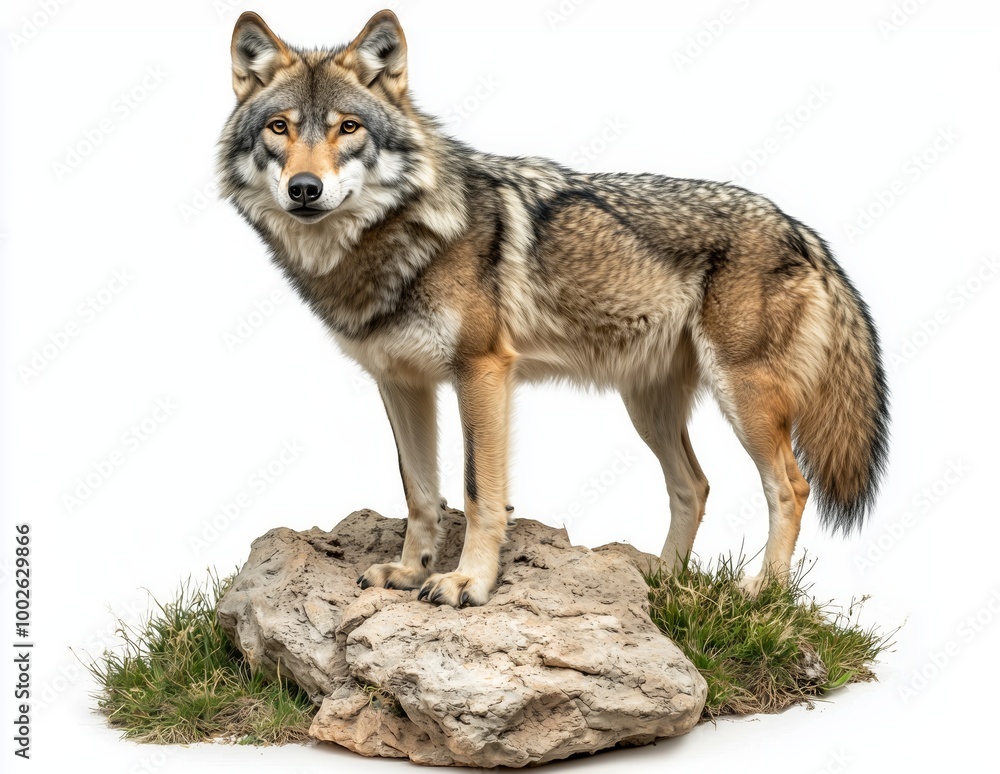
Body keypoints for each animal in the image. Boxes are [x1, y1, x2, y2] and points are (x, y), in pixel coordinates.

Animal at [218, 10, 889, 607]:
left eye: (348, 127)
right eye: (279, 128)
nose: (305, 189)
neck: (396, 243)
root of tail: (801, 229)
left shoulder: (483, 370)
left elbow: (478, 493)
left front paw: (469, 584)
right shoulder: (401, 382)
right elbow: (420, 493)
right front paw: (411, 573)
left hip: (741, 398)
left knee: (789, 486)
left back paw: (764, 594)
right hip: (647, 408)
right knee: (694, 486)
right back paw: (663, 584)